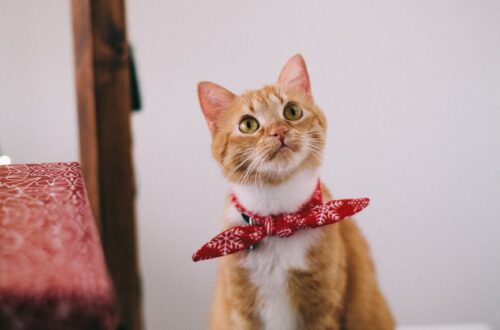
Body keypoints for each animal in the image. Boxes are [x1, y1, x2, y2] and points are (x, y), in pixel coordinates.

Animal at [195, 54, 394, 330]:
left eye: (292, 111)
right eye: (248, 124)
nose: (278, 131)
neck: (279, 221)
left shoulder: (321, 308)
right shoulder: (243, 312)